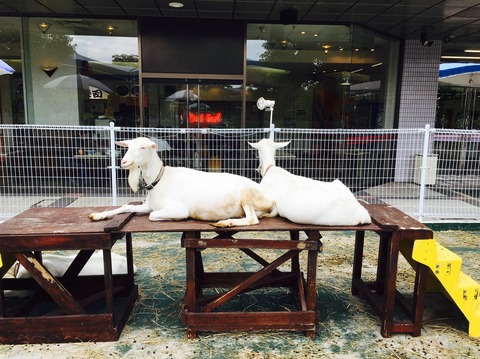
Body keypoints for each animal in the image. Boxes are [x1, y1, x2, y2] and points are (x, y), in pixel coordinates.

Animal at [89, 136, 278, 226]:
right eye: (128, 147)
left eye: (143, 147)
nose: (124, 162)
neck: (160, 180)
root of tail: (271, 199)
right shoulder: (149, 205)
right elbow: (126, 206)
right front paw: (98, 215)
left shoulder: (178, 209)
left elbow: (152, 216)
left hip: (248, 197)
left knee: (252, 219)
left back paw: (225, 222)